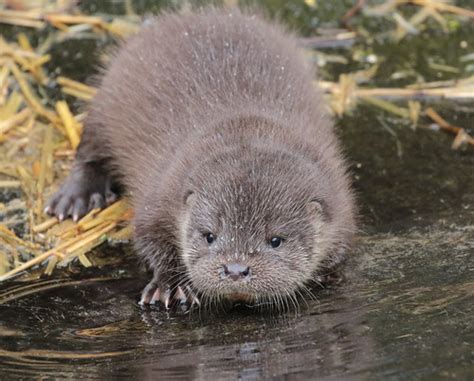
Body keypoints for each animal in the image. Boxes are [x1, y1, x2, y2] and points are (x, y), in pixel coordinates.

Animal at [45, 8, 356, 308]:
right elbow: (148, 239)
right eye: (209, 235)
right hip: (107, 103)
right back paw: (76, 199)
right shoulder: (161, 194)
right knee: (90, 150)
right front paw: (169, 285)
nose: (235, 269)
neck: (246, 127)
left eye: (276, 240)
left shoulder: (341, 208)